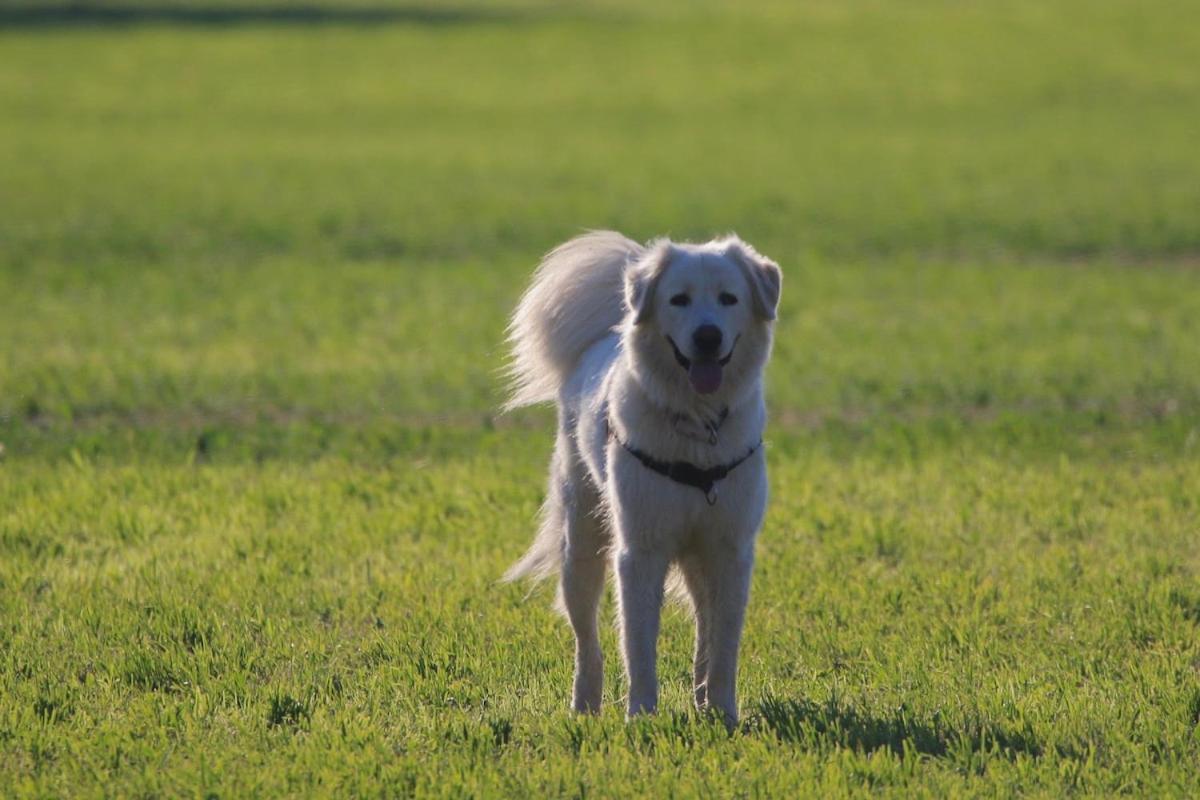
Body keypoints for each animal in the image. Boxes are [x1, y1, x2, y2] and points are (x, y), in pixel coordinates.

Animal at [501, 231, 782, 724]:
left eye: (729, 299)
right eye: (679, 300)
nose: (707, 337)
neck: (697, 425)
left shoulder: (730, 551)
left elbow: (723, 644)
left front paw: (723, 713)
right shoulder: (639, 551)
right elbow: (637, 644)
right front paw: (642, 717)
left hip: (695, 558)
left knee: (704, 627)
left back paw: (701, 700)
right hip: (582, 547)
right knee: (587, 640)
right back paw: (585, 706)